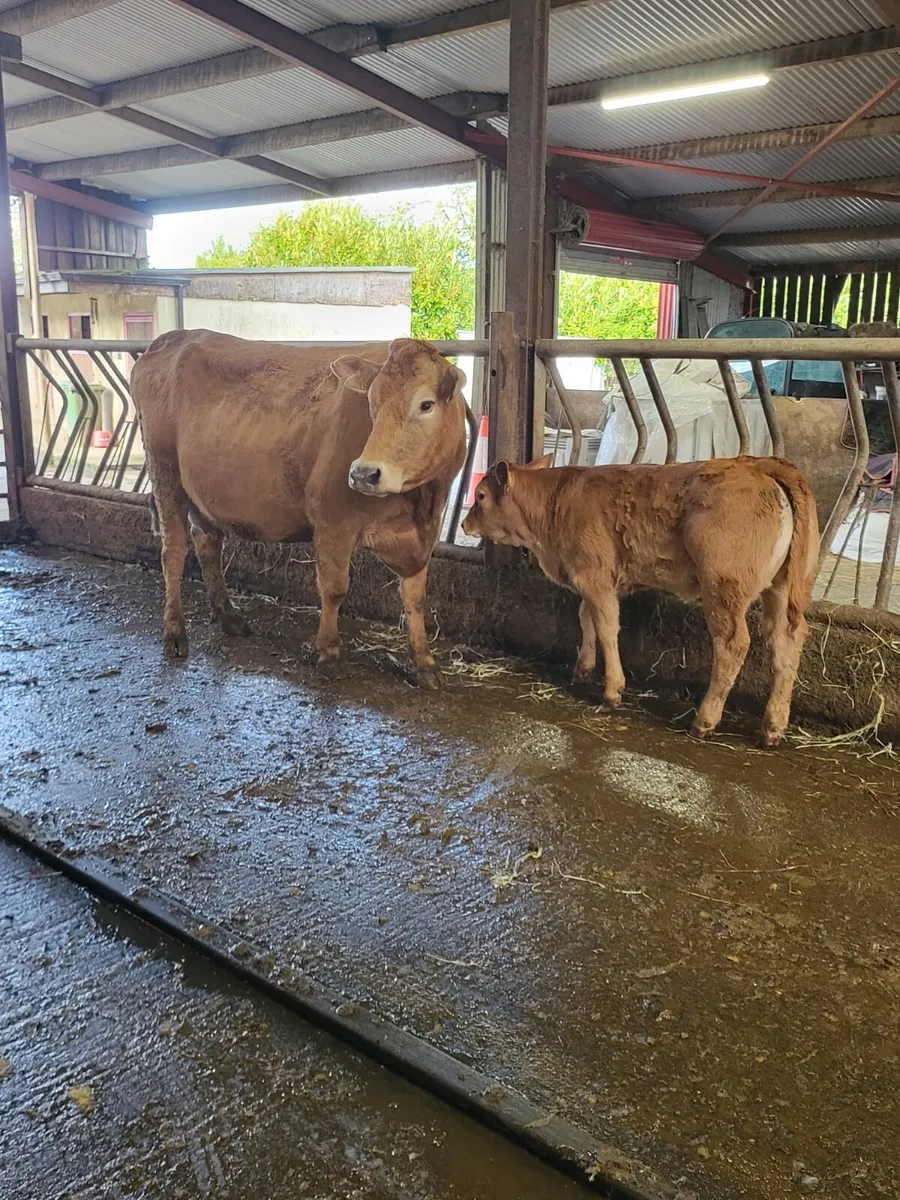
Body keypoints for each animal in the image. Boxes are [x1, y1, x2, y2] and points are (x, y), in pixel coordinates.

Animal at [130, 330, 469, 687]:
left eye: (426, 404)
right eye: (372, 403)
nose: (363, 474)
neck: (421, 504)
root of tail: (173, 338)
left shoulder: (422, 536)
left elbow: (415, 597)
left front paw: (424, 662)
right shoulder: (332, 519)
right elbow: (334, 589)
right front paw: (327, 652)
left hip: (201, 492)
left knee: (208, 545)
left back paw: (229, 617)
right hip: (165, 472)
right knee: (173, 553)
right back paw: (175, 633)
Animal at [462, 455, 819, 746]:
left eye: (480, 496)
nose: (465, 523)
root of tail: (757, 464)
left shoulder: (594, 575)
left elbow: (607, 628)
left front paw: (612, 692)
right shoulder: (595, 579)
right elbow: (586, 617)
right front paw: (582, 670)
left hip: (723, 587)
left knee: (733, 644)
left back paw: (704, 722)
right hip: (780, 589)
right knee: (786, 640)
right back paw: (772, 728)